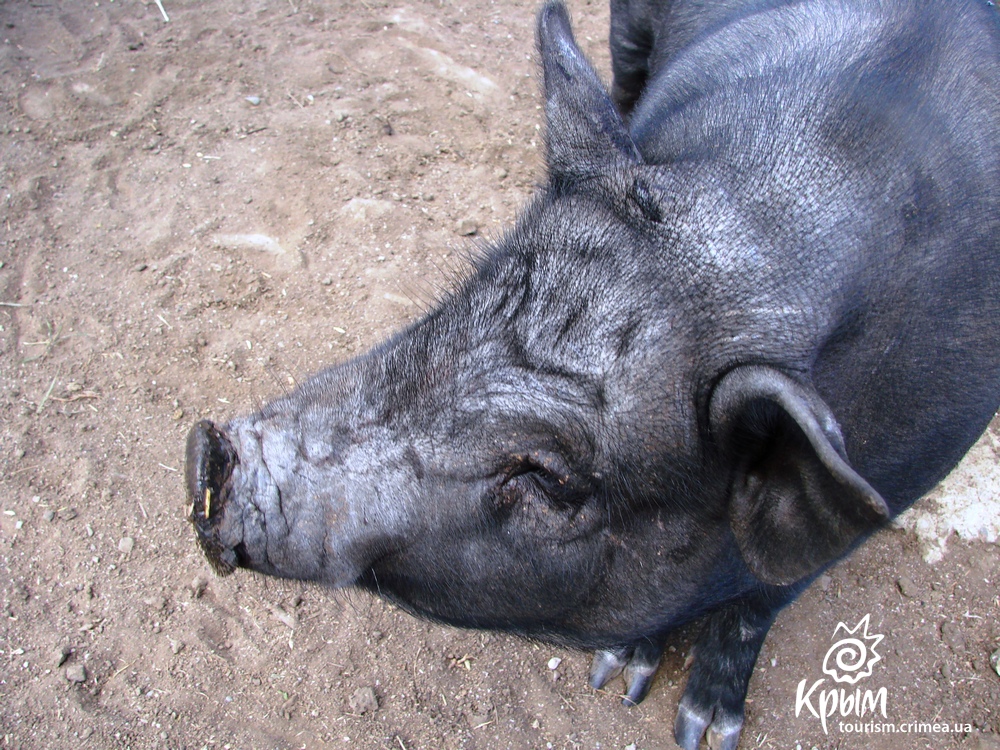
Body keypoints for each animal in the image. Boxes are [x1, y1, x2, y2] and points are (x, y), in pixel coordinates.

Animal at [186, 2, 1000, 748]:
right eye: (463, 301)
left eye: (551, 477)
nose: (205, 452)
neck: (771, 226)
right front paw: (621, 674)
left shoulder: (904, 478)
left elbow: (763, 600)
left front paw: (701, 730)